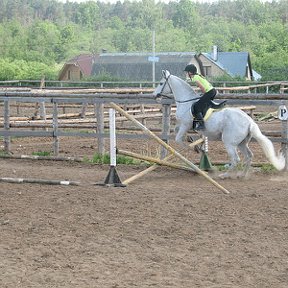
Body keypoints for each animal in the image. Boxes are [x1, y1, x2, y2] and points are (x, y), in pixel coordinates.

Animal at [154, 70, 284, 178]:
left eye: (161, 83)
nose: (155, 95)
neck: (185, 102)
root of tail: (249, 121)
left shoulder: (185, 125)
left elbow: (178, 139)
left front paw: (193, 148)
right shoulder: (183, 125)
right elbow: (176, 131)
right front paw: (193, 143)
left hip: (229, 141)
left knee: (236, 159)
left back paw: (225, 175)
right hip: (242, 142)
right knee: (249, 156)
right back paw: (242, 175)